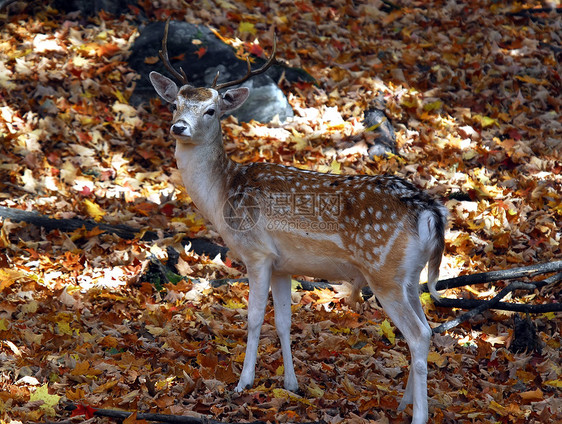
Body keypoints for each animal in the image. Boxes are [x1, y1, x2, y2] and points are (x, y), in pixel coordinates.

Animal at [149, 19, 446, 424]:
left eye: (211, 110)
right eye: (176, 103)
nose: (178, 127)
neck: (223, 194)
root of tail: (431, 211)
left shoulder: (256, 253)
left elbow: (254, 318)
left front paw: (243, 383)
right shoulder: (283, 265)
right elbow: (284, 322)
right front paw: (290, 384)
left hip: (383, 272)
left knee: (418, 334)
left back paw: (418, 415)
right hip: (410, 275)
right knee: (427, 328)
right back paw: (403, 404)